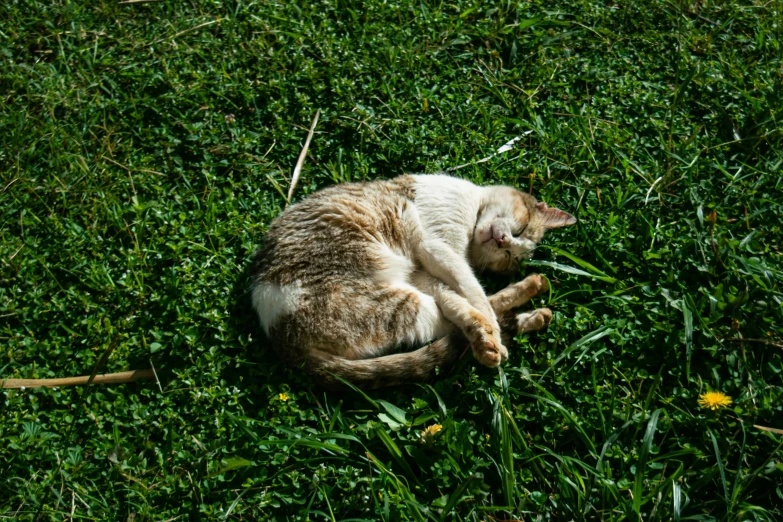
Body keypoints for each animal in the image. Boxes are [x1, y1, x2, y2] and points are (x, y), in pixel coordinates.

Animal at [251, 173, 576, 388]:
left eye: (508, 255)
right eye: (519, 232)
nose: (503, 241)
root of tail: (279, 336)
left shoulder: (423, 270)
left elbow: (461, 293)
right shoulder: (436, 248)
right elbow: (473, 290)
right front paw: (490, 329)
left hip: (400, 298)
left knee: (454, 317)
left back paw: (530, 303)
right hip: (396, 304)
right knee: (452, 321)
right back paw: (505, 324)